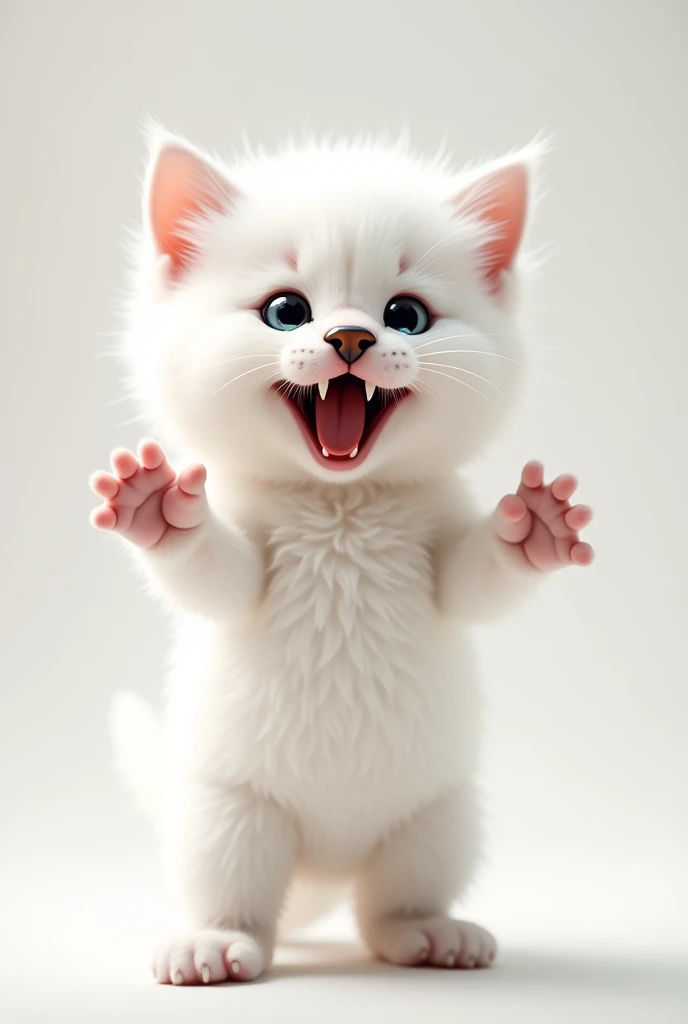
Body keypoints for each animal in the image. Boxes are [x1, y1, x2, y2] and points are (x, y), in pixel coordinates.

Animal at [94, 130, 593, 983]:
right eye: (286, 310)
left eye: (406, 314)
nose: (352, 338)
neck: (343, 505)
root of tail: (325, 864)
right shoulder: (248, 543)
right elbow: (215, 579)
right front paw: (156, 505)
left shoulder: (439, 531)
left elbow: (475, 586)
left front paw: (535, 524)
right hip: (228, 815)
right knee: (244, 900)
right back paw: (215, 943)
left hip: (437, 818)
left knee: (386, 906)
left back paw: (431, 933)